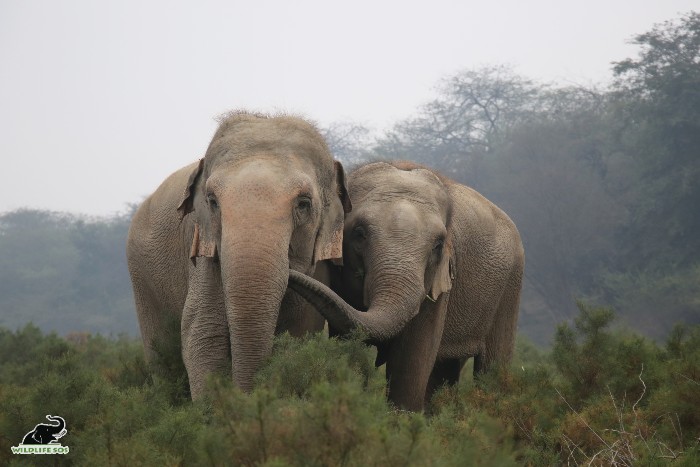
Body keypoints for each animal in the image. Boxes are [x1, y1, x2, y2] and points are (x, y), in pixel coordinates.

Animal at [126, 110, 350, 398]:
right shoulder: (205, 256)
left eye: (303, 204)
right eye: (212, 201)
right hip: (142, 281)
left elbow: (301, 332)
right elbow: (203, 334)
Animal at [288, 163, 524, 412]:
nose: (289, 271)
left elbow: (412, 357)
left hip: (511, 288)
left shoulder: (439, 284)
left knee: (492, 367)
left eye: (438, 245)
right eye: (359, 234)